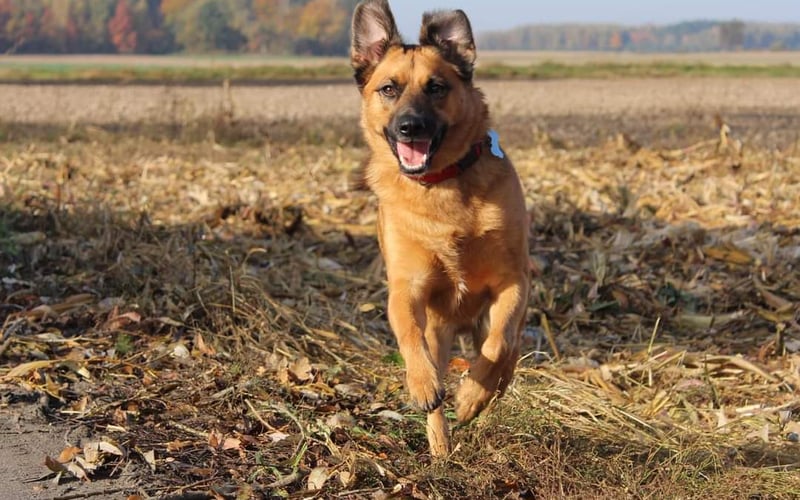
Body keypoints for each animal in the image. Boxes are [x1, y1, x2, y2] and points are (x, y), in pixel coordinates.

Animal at [352, 0, 532, 458]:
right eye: (388, 89)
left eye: (436, 87)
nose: (409, 127)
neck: (442, 187)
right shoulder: (406, 289)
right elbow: (409, 337)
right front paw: (422, 384)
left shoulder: (512, 283)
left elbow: (498, 345)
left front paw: (472, 396)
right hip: (440, 329)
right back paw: (440, 450)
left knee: (507, 350)